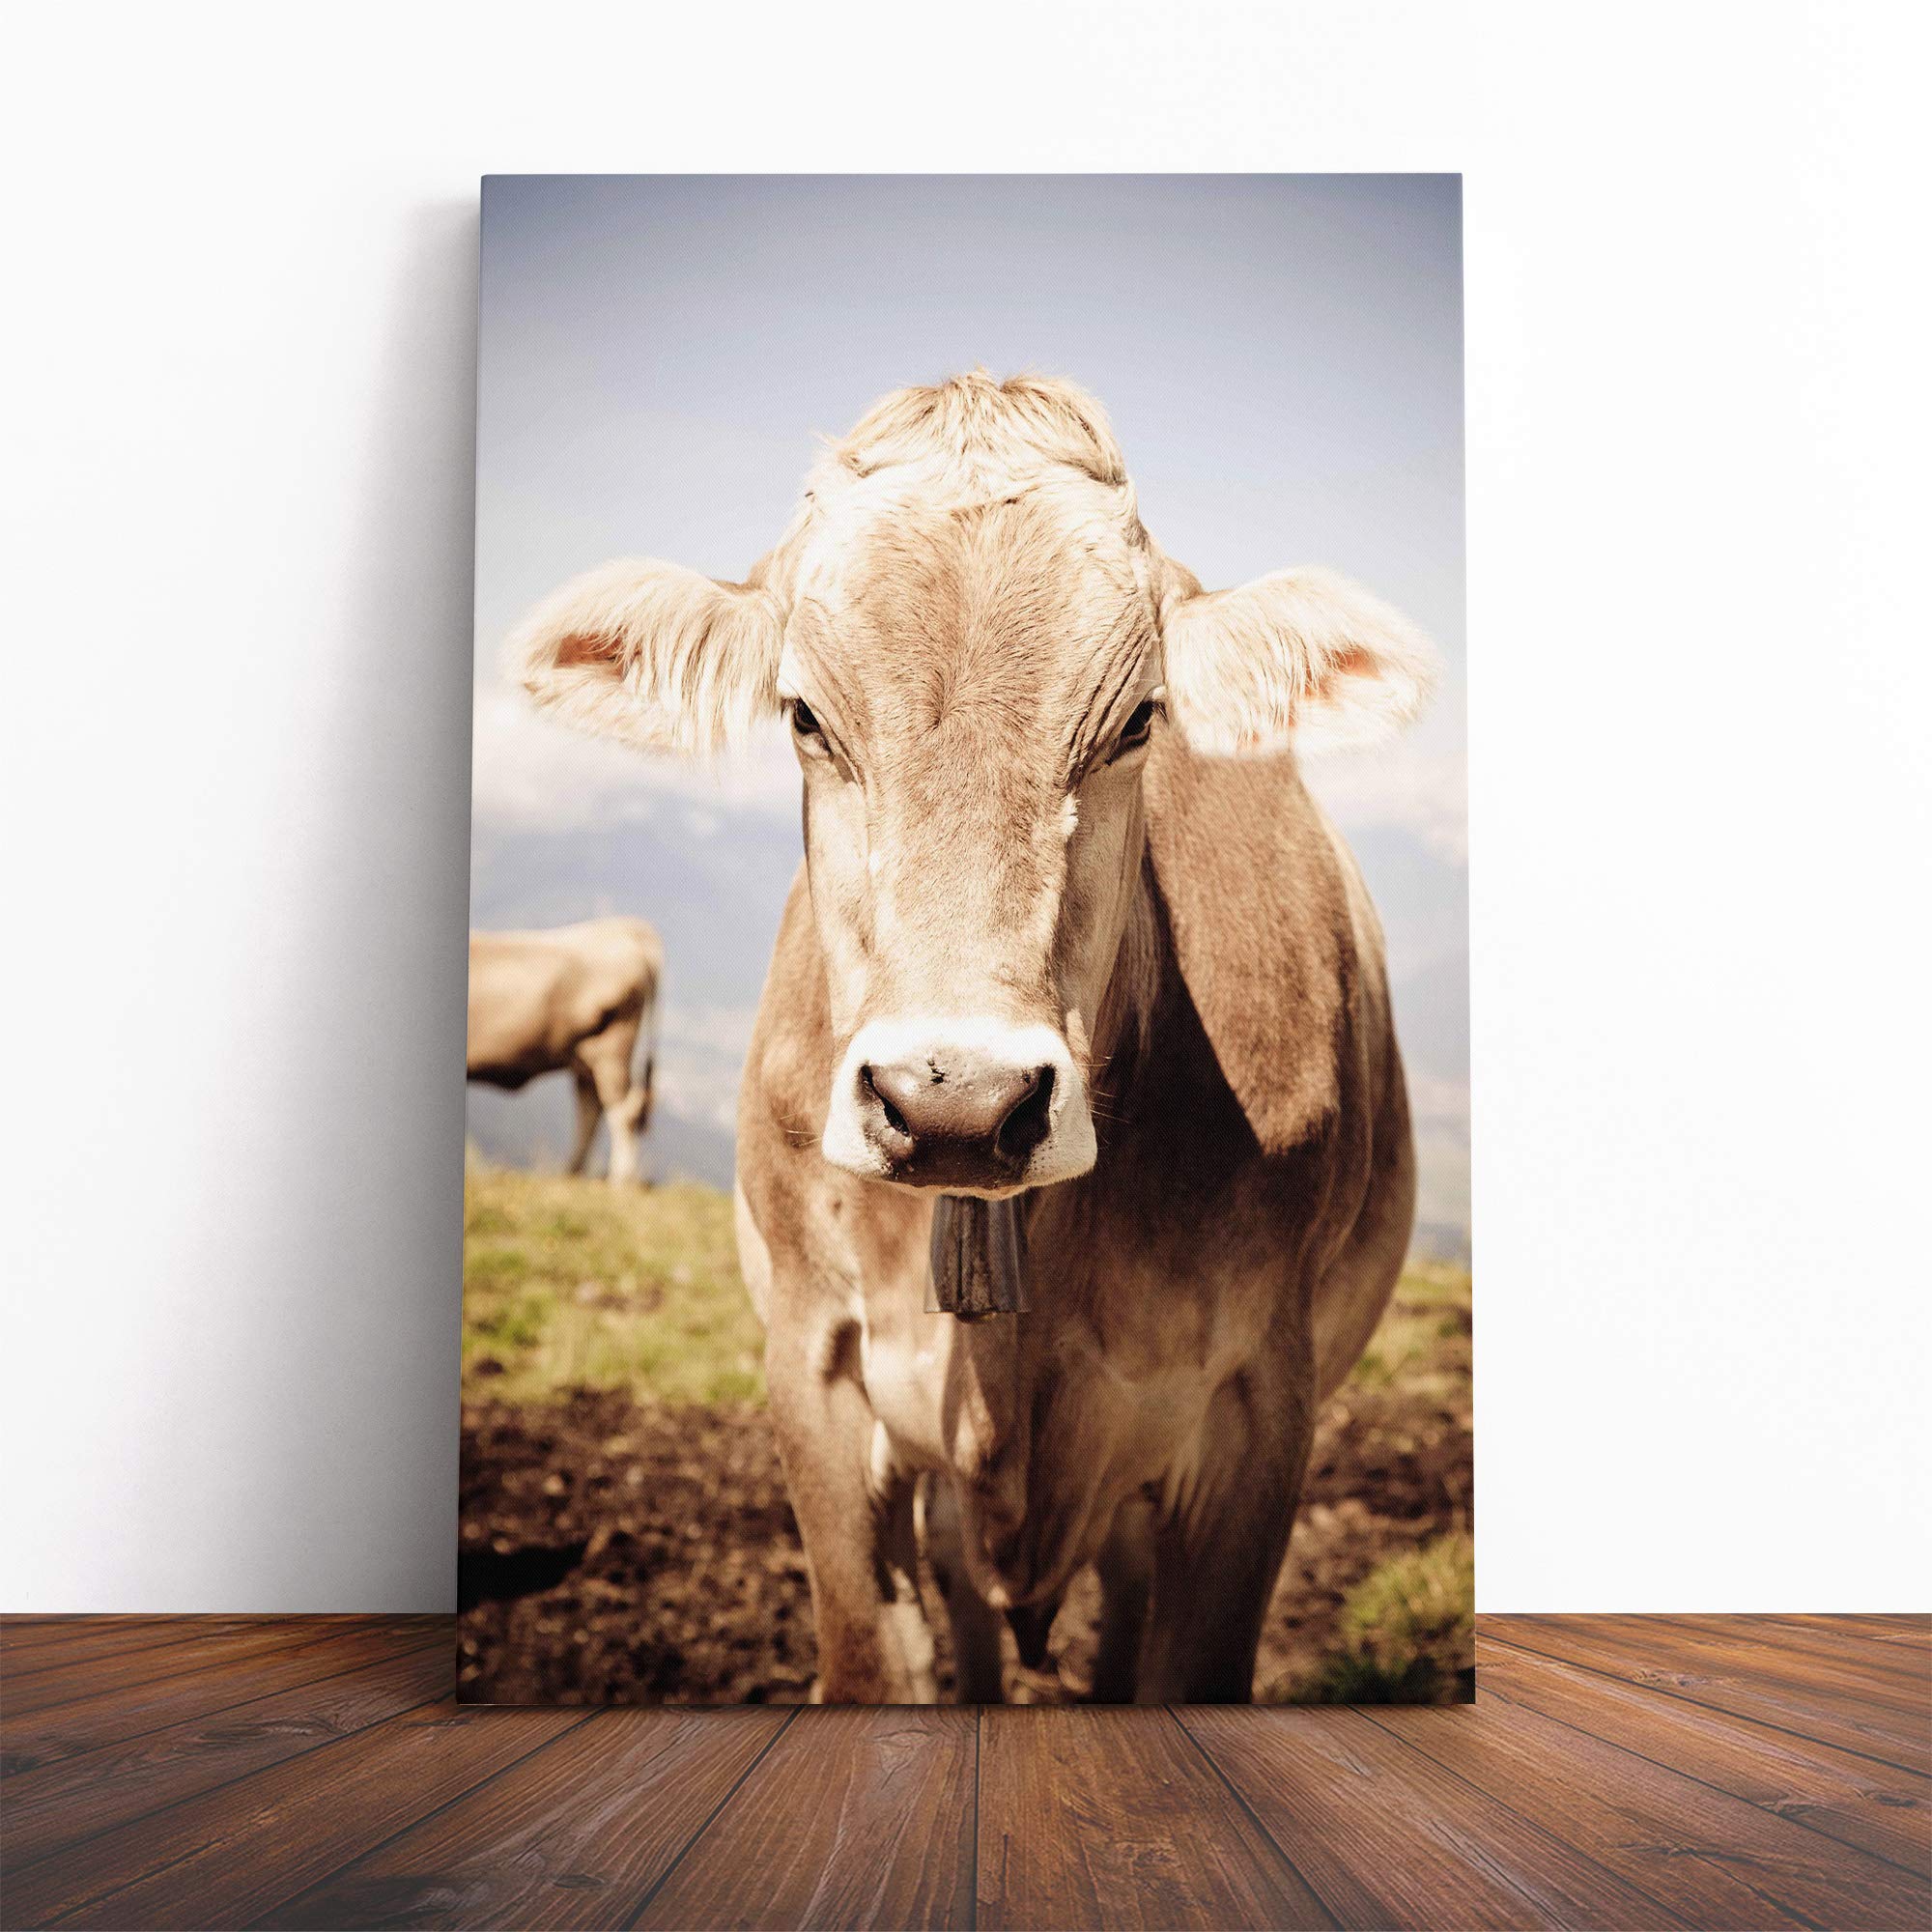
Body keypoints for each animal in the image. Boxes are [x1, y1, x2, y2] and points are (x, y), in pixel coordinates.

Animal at [466, 919, 661, 1185]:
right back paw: (572, 1174)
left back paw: (619, 1180)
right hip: (587, 1057)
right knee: (591, 1110)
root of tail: (622, 927)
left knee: (623, 1111)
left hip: (613, 1050)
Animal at [509, 372, 1434, 1701]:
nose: (955, 1100)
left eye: (1136, 720)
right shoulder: (817, 1368)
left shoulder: (1259, 1405)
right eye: (804, 715)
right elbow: (869, 1658)